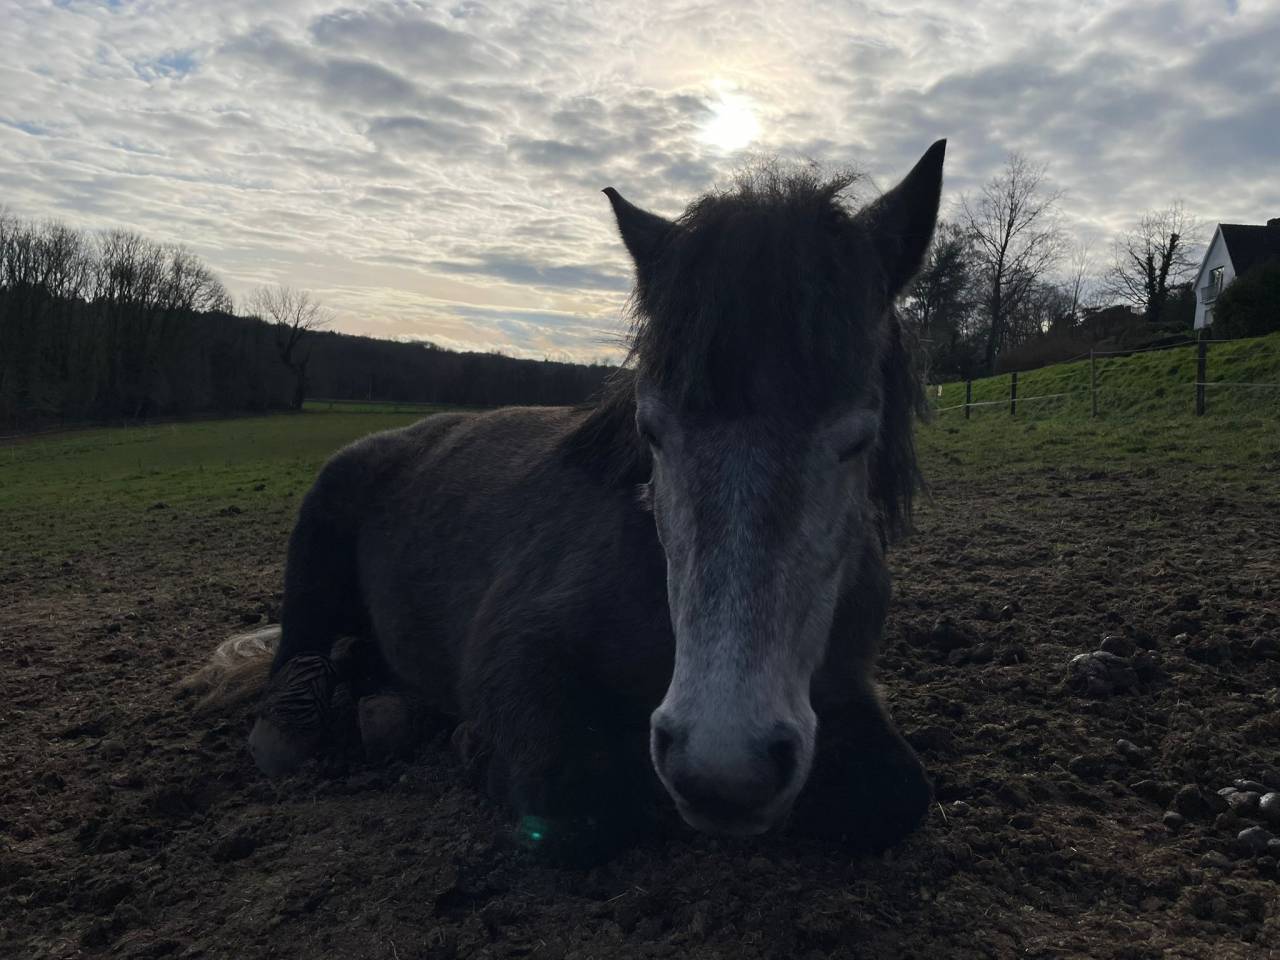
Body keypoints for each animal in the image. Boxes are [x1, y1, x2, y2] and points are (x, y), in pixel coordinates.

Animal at [188, 140, 948, 857]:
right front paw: (476, 747)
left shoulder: (843, 686)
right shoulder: (521, 655)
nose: (722, 768)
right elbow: (577, 806)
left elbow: (896, 795)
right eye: (652, 430)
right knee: (295, 653)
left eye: (857, 439)